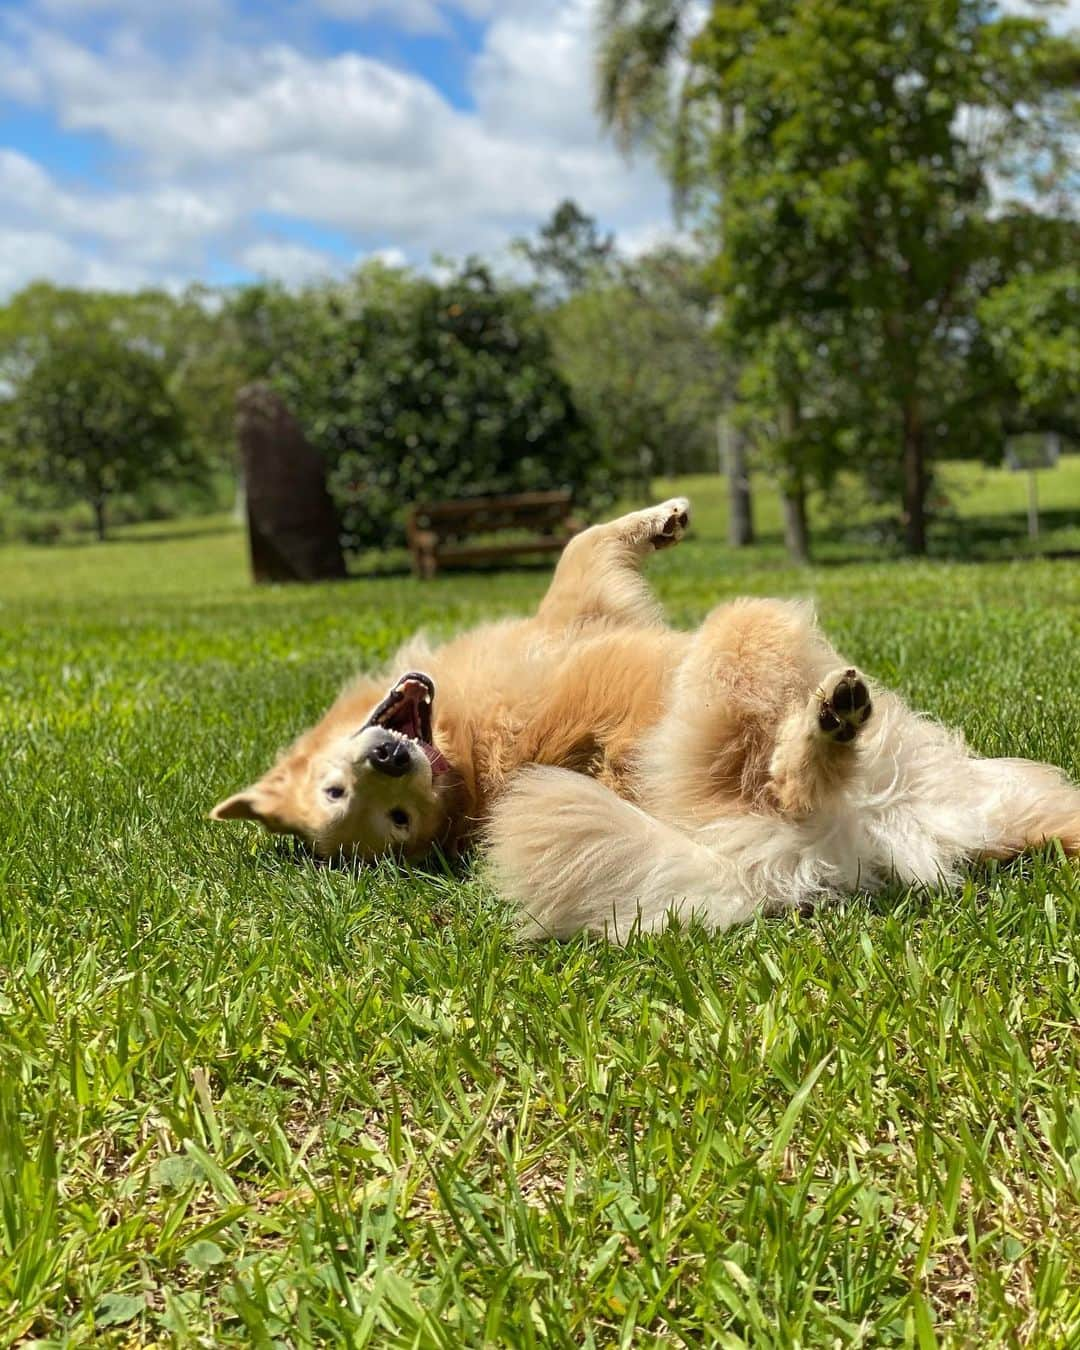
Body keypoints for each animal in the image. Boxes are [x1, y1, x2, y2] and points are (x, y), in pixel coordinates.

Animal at [213, 499, 1080, 939]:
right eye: (380, 813)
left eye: (344, 794)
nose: (390, 761)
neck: (464, 762)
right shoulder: (583, 605)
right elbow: (580, 542)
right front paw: (661, 517)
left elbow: (582, 536)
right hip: (745, 636)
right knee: (789, 776)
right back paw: (829, 724)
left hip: (1029, 799)